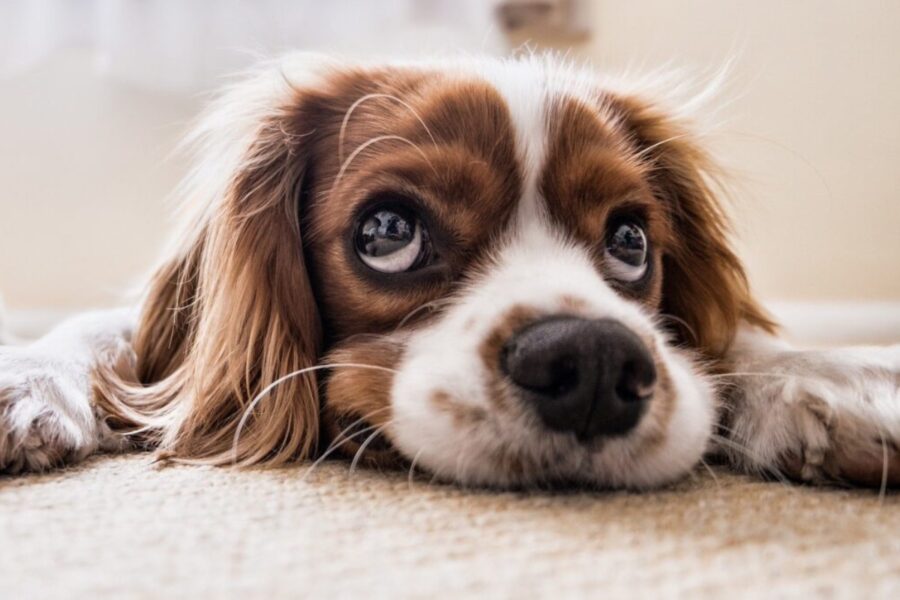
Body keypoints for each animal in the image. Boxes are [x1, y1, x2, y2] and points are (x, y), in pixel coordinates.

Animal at [1, 54, 900, 490]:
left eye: (631, 241)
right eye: (387, 232)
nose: (593, 363)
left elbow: (734, 340)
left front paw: (833, 378)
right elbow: (105, 330)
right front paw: (28, 377)